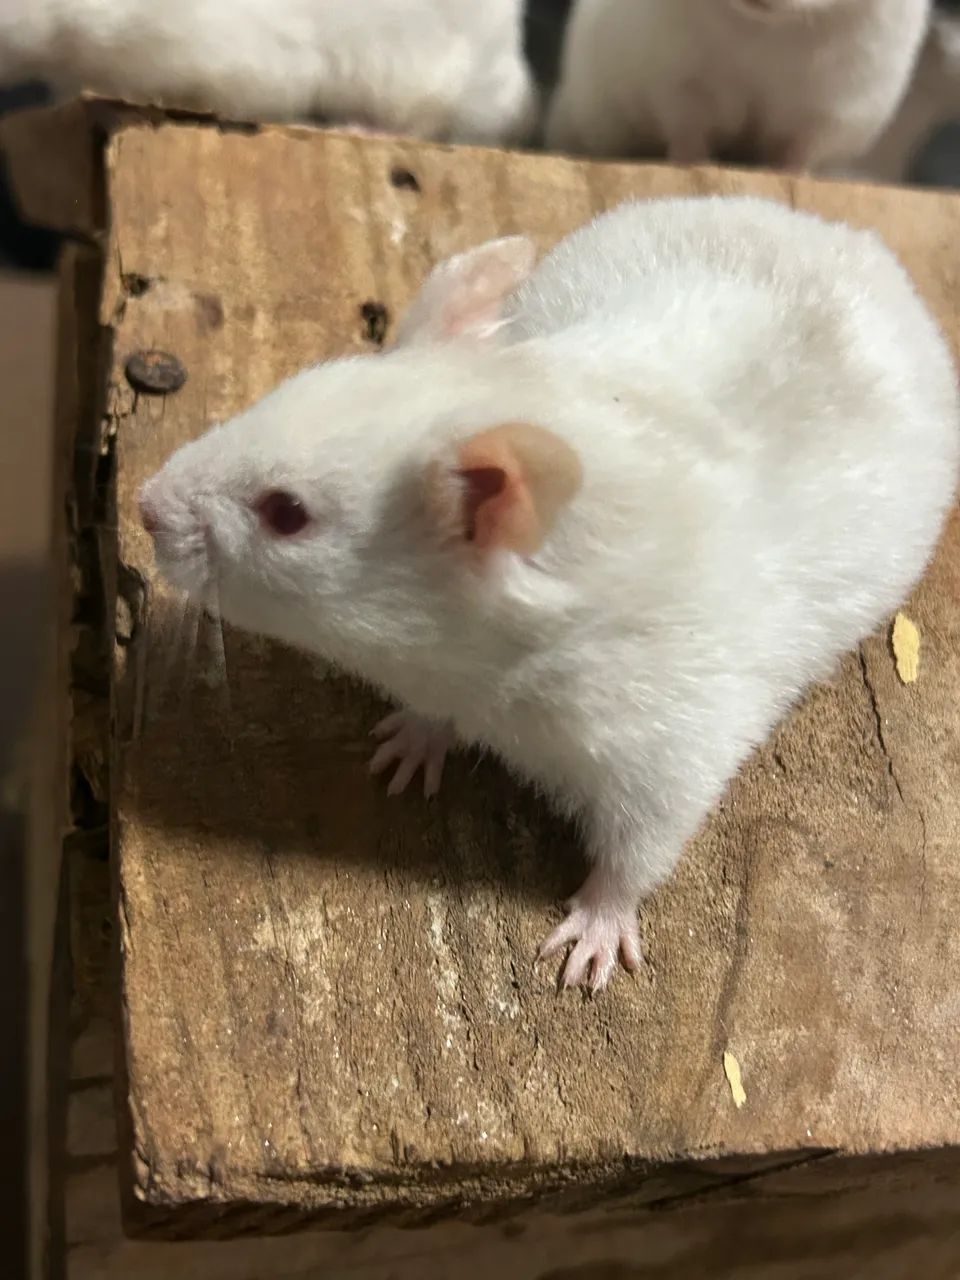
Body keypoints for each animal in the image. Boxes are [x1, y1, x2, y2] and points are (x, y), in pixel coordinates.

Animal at [139, 195, 959, 991]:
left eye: (286, 513)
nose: (143, 506)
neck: (480, 664)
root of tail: (857, 240)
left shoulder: (672, 746)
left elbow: (638, 853)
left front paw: (587, 949)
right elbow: (428, 721)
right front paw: (402, 749)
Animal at [547, 0, 931, 170]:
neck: (764, 28)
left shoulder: (836, 109)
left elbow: (799, 149)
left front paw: (786, 174)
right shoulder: (679, 80)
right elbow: (689, 128)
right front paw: (698, 164)